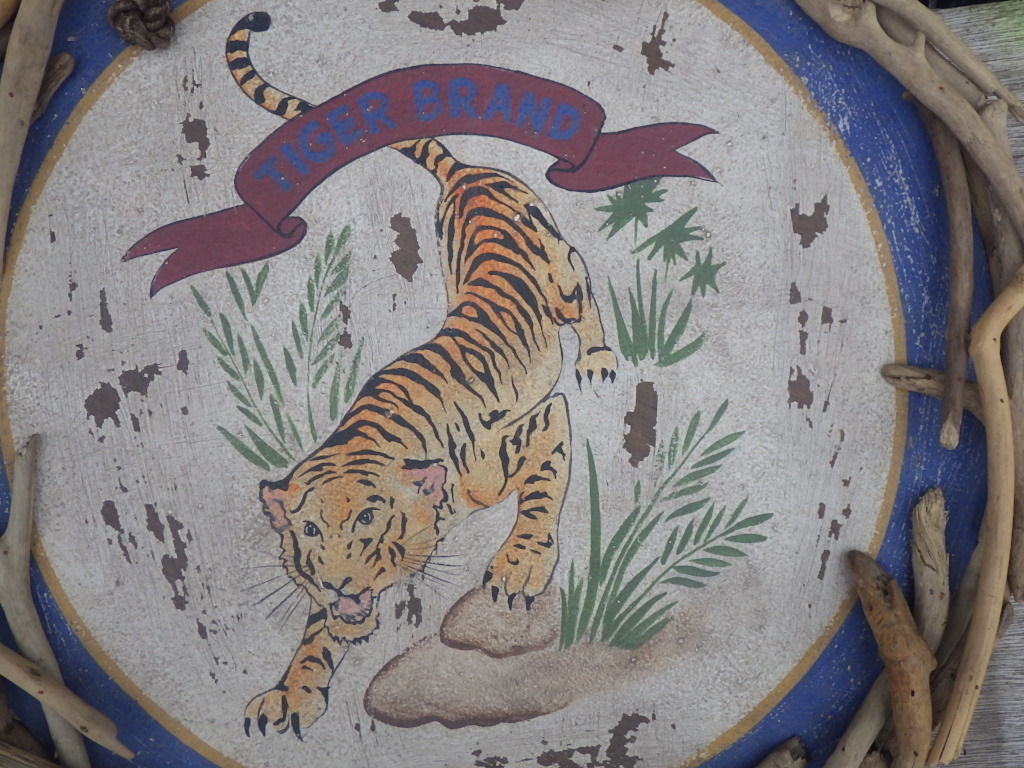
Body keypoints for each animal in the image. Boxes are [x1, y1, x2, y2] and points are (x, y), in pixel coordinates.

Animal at [227, 12, 617, 737]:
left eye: (369, 522)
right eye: (309, 533)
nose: (341, 584)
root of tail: (467, 171)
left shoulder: (539, 423)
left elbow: (541, 495)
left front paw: (519, 569)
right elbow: (318, 634)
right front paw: (293, 692)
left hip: (561, 276)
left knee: (585, 300)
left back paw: (600, 359)